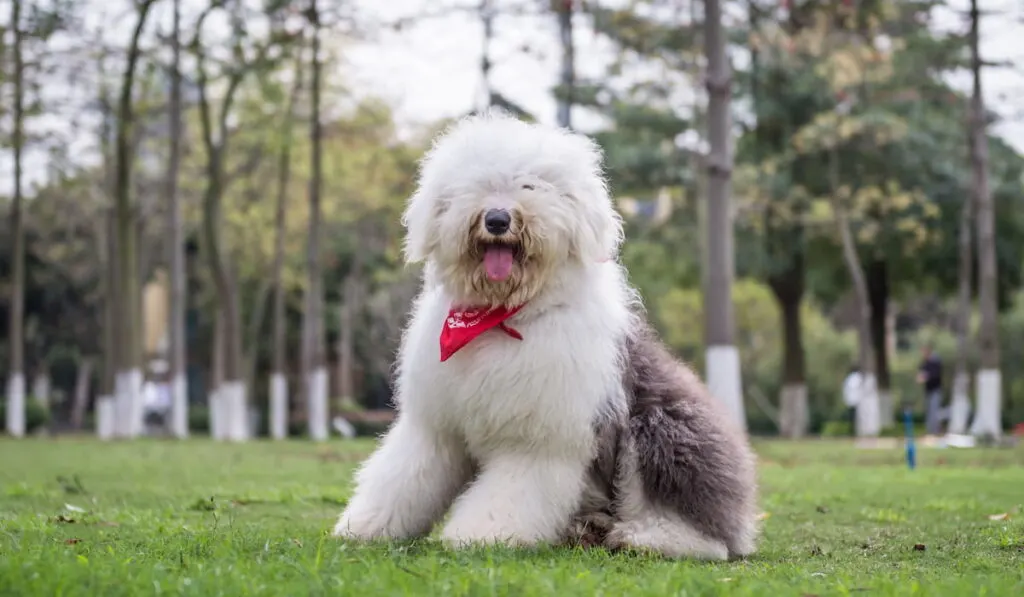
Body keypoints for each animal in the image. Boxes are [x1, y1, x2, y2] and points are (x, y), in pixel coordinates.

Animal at [331, 109, 757, 561]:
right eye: (478, 185)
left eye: (531, 186)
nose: (497, 219)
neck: (501, 318)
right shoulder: (435, 426)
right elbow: (403, 476)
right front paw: (365, 526)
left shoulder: (538, 437)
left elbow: (511, 490)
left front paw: (483, 534)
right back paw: (587, 529)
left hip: (663, 427)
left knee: (702, 531)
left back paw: (646, 538)